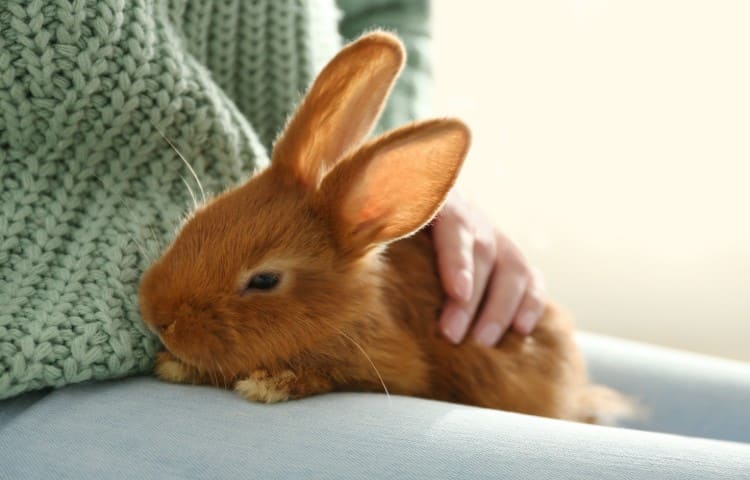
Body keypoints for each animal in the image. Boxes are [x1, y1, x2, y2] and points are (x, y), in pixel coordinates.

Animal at [139, 31, 635, 424]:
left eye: (264, 280)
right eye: (196, 220)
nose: (156, 316)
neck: (348, 310)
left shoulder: (388, 363)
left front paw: (267, 384)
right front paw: (175, 364)